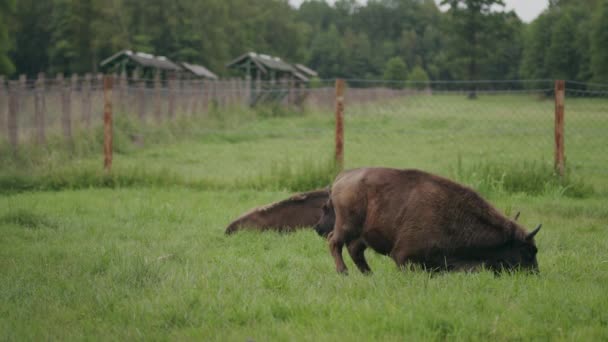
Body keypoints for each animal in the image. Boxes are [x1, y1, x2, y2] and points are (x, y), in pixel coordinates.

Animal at [314, 168, 540, 276]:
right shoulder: (403, 256)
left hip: (361, 234)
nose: (534, 275)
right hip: (347, 226)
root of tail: (342, 177)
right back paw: (343, 272)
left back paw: (369, 275)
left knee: (354, 250)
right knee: (334, 242)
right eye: (527, 251)